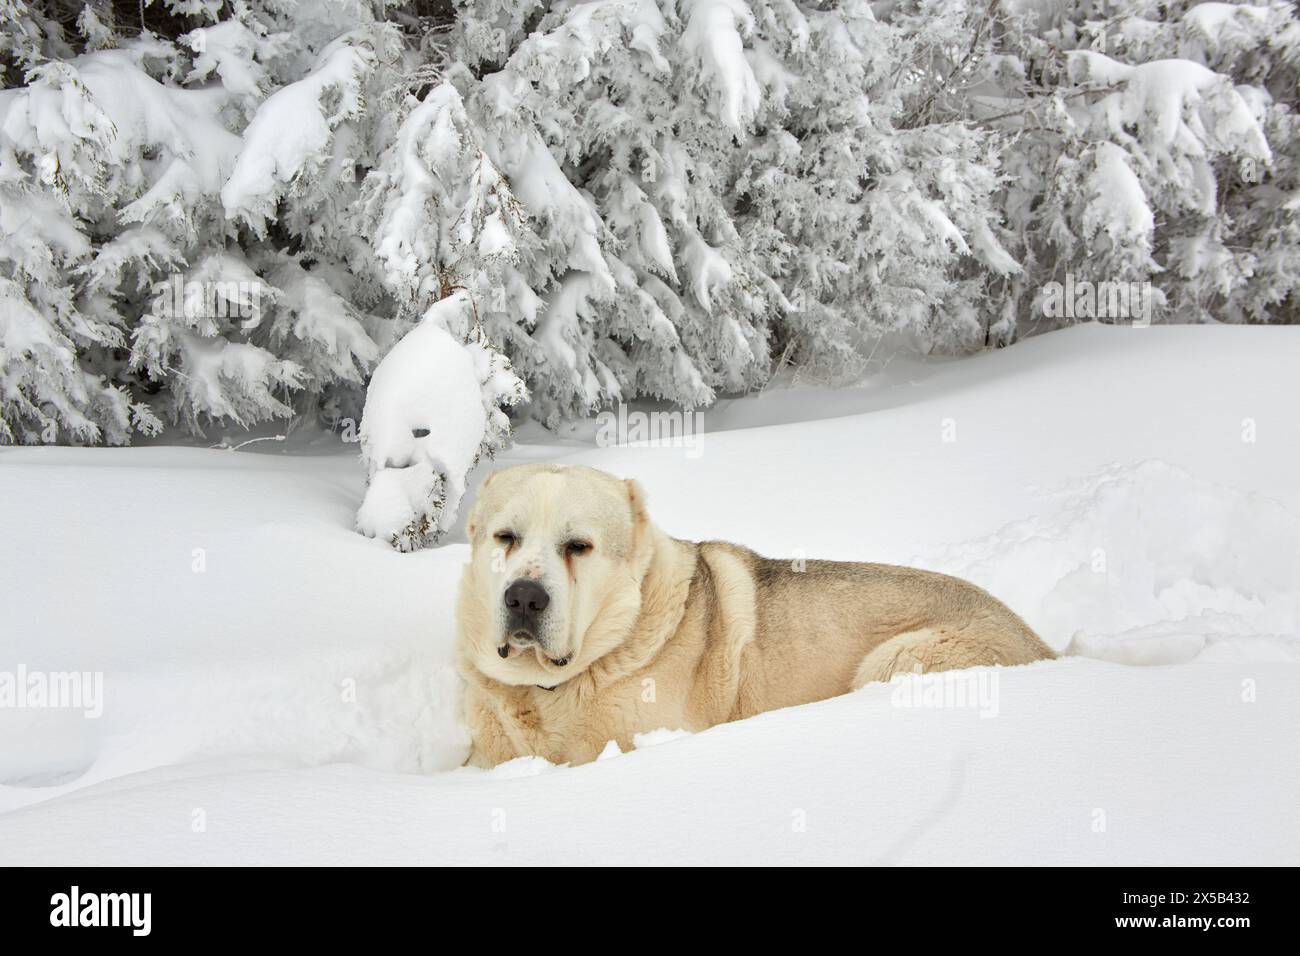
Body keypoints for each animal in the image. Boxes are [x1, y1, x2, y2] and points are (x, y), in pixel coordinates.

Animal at [457, 463, 1055, 770]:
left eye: (578, 547)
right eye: (505, 538)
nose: (525, 598)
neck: (547, 689)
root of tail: (1044, 646)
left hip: (897, 658)